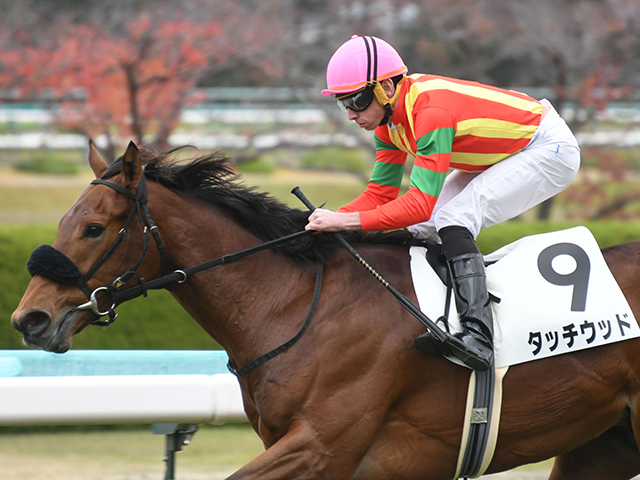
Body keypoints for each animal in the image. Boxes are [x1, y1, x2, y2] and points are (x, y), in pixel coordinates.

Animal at [10, 141, 640, 478]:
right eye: (66, 220)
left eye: (94, 228)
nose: (29, 319)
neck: (295, 306)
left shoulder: (323, 447)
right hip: (603, 443)